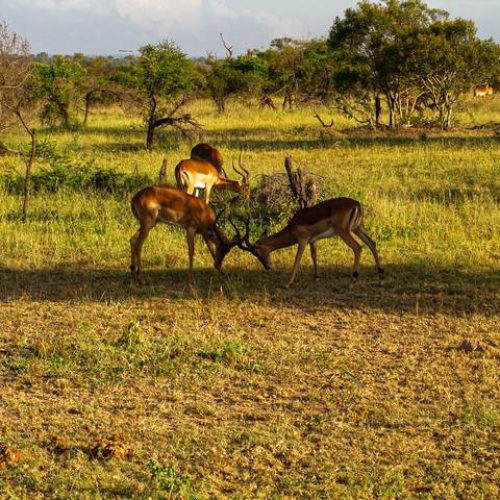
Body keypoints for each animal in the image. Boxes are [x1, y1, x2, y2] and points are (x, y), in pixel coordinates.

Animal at [229, 196, 384, 288]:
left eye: (256, 252)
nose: (267, 266)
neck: (292, 227)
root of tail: (356, 203)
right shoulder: (312, 241)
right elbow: (314, 256)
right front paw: (316, 277)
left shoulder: (302, 241)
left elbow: (297, 260)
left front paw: (288, 283)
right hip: (358, 228)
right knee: (372, 243)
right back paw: (380, 279)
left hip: (344, 232)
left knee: (358, 248)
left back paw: (352, 282)